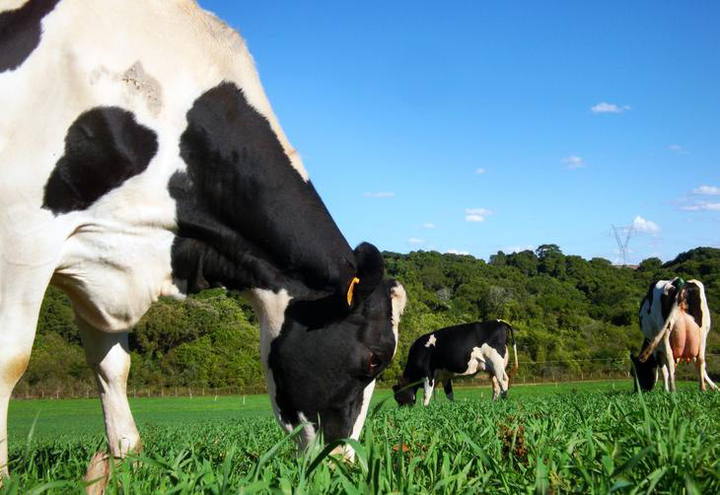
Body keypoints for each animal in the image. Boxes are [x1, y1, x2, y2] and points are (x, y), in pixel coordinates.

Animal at [0, 0, 404, 484]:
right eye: (375, 359)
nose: (345, 464)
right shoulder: (23, 229)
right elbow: (11, 361)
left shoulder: (102, 262)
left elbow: (112, 365)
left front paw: (127, 459)